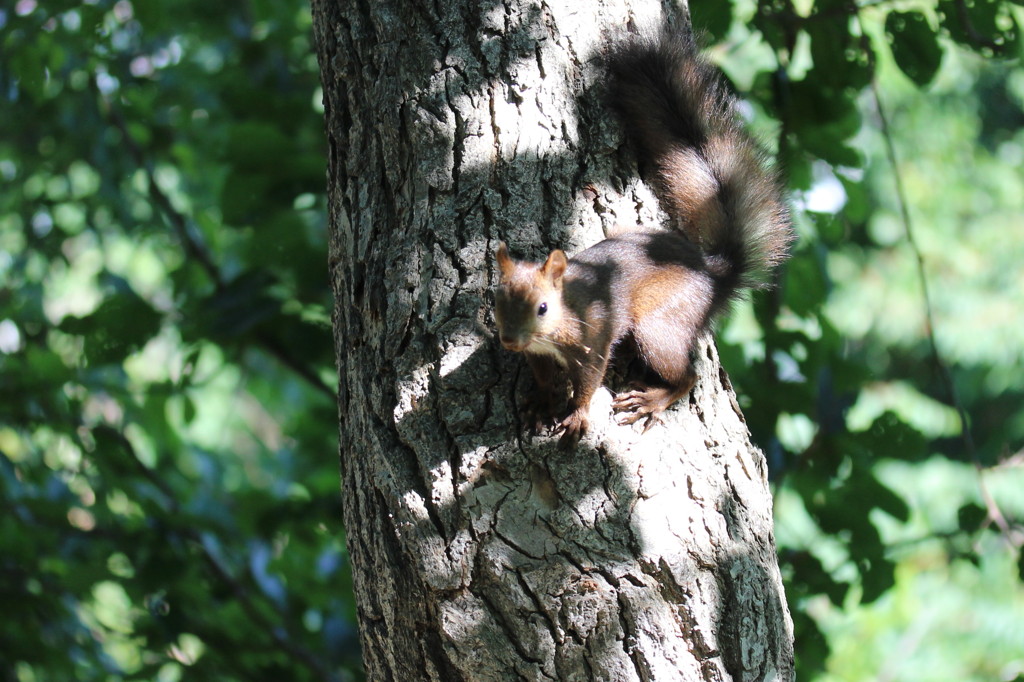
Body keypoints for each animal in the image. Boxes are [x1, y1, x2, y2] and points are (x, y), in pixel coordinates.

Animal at [495, 31, 790, 446]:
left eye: (542, 308)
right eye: (496, 299)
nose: (509, 340)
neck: (562, 316)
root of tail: (713, 272)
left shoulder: (594, 339)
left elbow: (588, 383)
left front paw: (578, 416)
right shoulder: (536, 354)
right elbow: (544, 379)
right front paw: (542, 402)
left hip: (658, 328)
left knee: (689, 375)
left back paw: (654, 399)